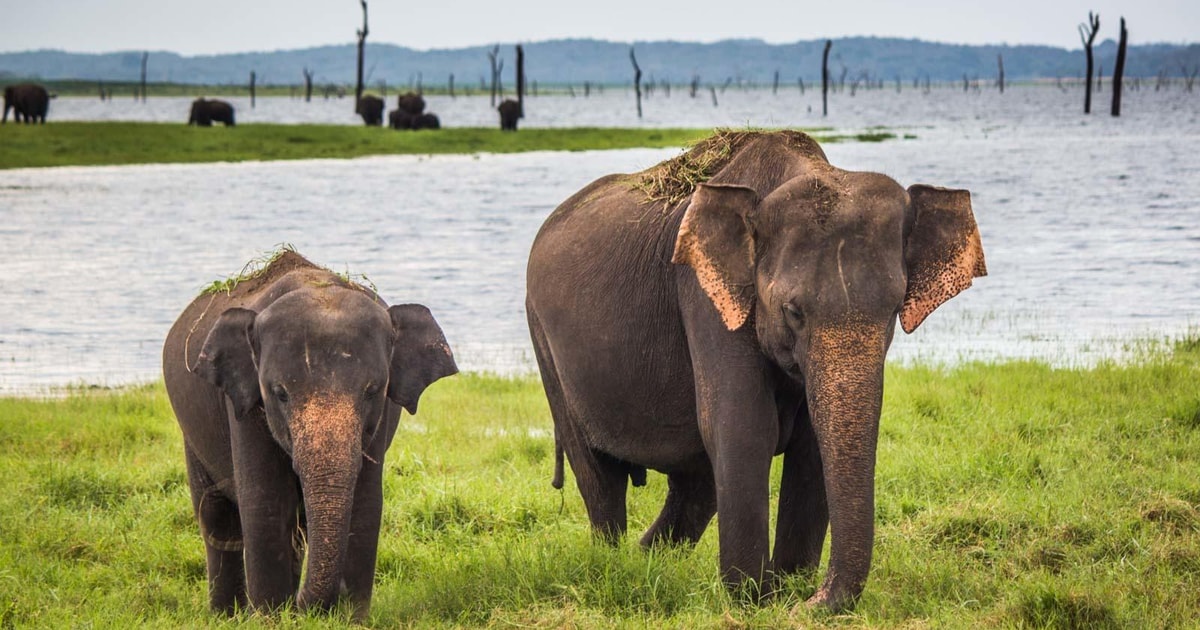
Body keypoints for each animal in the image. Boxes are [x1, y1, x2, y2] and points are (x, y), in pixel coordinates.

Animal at [162, 250, 458, 617]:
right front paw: (271, 617)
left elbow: (366, 504)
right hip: (192, 433)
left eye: (372, 391)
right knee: (217, 518)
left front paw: (349, 618)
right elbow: (265, 502)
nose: (307, 606)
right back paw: (226, 616)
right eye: (280, 393)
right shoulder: (244, 407)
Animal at [525, 130, 986, 611]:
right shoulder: (704, 295)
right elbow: (743, 427)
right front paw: (754, 601)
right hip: (544, 341)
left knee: (696, 486)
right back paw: (614, 561)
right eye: (793, 312)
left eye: (894, 309)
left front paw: (786, 590)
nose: (813, 598)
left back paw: (645, 561)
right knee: (601, 479)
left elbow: (809, 445)